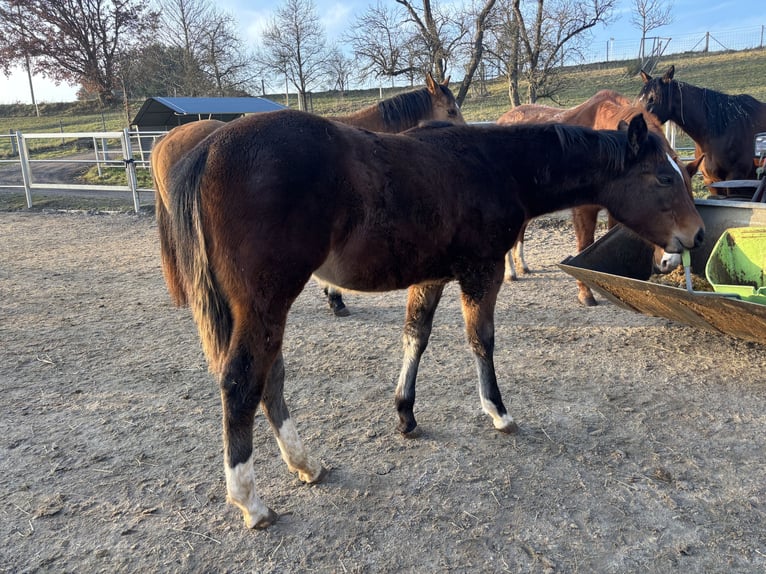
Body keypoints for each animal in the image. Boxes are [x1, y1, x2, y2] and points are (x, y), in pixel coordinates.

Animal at [497, 90, 703, 305]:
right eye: (665, 180)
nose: (669, 262)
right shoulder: (584, 209)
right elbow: (585, 244)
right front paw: (585, 293)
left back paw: (522, 266)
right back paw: (511, 272)